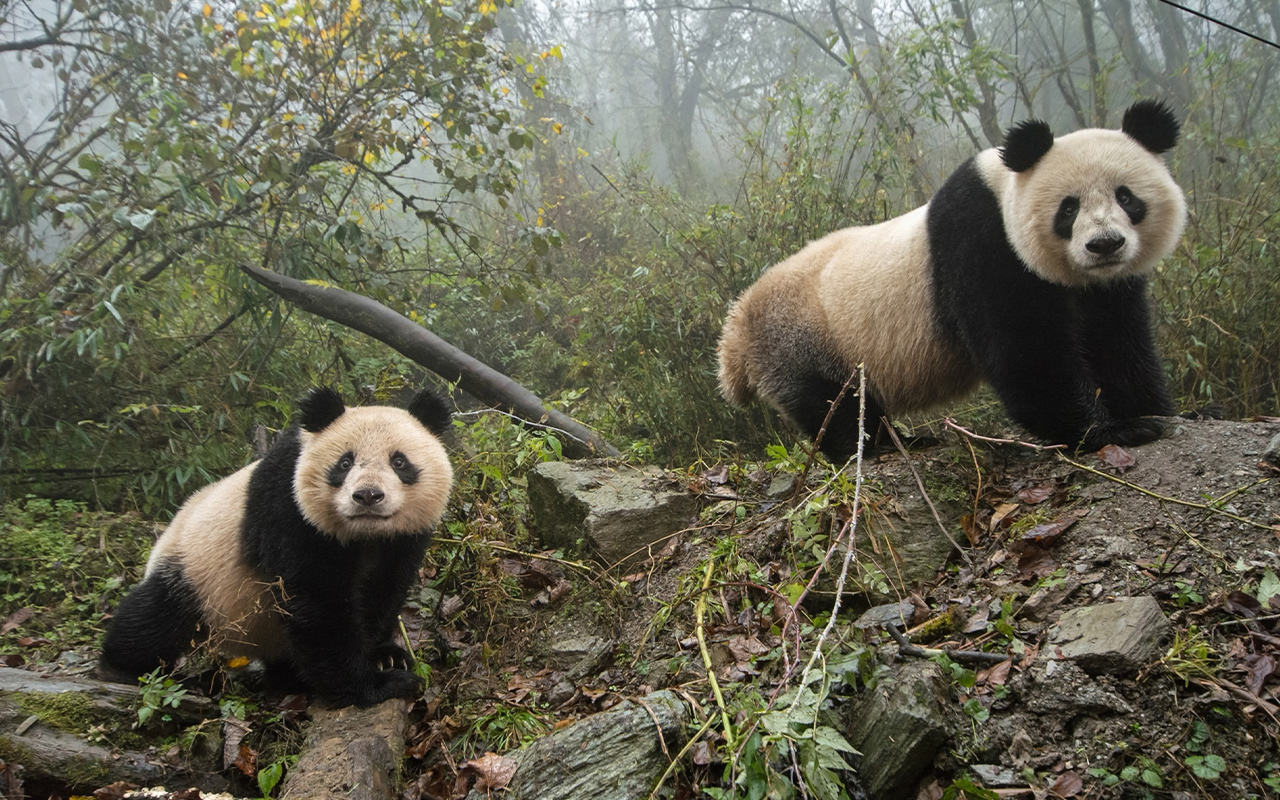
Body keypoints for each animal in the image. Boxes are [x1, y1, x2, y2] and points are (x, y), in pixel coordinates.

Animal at [103, 386, 455, 706]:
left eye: (399, 462)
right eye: (344, 463)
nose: (368, 496)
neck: (364, 535)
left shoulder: (402, 539)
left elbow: (384, 589)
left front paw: (386, 656)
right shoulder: (287, 507)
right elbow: (317, 602)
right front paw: (374, 684)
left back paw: (287, 677)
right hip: (195, 572)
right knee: (153, 619)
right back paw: (120, 666)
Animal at [721, 99, 1187, 460]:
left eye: (1126, 197)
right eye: (1068, 208)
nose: (1104, 245)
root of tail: (737, 325)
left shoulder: (1108, 287)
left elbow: (1118, 341)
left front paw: (1156, 412)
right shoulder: (981, 243)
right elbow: (1025, 352)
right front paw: (1111, 431)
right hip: (802, 338)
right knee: (833, 404)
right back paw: (872, 448)